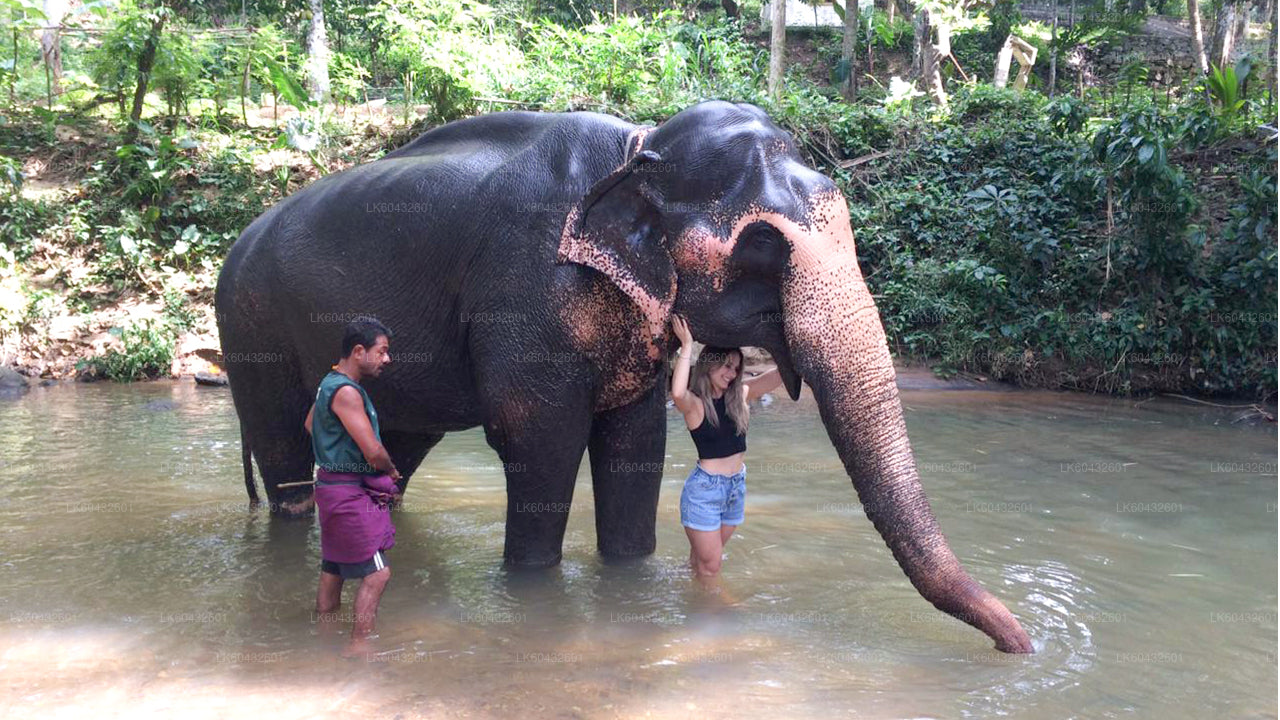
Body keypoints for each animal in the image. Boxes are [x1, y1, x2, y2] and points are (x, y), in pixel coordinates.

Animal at [217, 98, 1039, 653]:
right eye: (764, 246)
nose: (1021, 644)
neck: (641, 144)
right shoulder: (527, 288)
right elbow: (539, 440)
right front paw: (534, 591)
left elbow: (637, 442)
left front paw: (630, 576)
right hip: (250, 324)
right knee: (289, 456)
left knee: (400, 448)